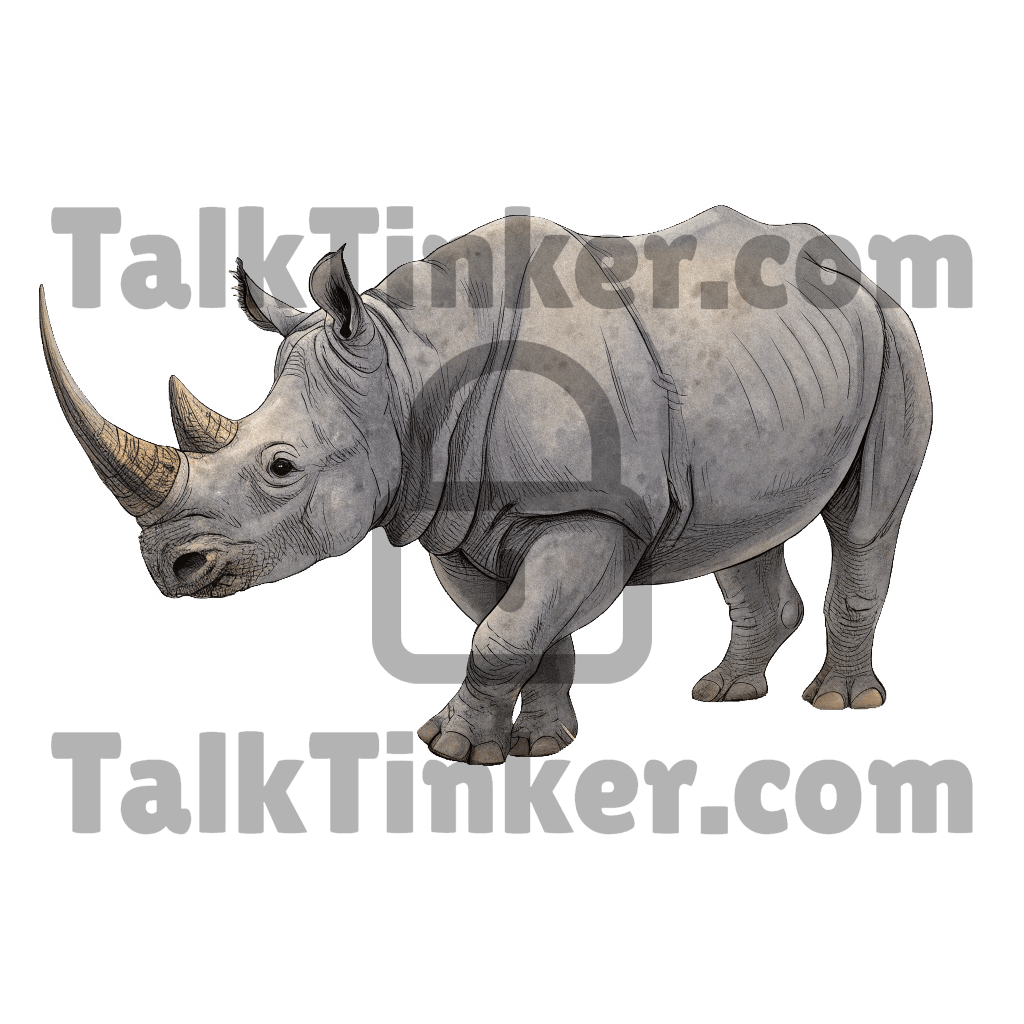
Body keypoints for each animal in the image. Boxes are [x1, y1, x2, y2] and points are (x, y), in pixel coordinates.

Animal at [39, 206, 932, 764]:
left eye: (280, 468)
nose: (168, 565)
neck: (406, 365)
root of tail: (848, 270)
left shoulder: (588, 510)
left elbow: (507, 630)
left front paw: (449, 747)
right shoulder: (457, 516)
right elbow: (526, 628)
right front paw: (540, 743)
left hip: (893, 335)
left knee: (865, 522)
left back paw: (840, 705)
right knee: (739, 531)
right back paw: (725, 693)